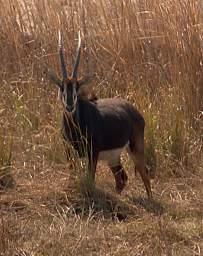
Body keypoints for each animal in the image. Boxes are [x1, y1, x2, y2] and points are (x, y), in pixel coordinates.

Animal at [48, 30, 152, 198]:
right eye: (61, 87)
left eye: (77, 86)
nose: (70, 106)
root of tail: (136, 113)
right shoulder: (69, 151)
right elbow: (72, 175)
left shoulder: (93, 153)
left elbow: (91, 179)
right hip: (113, 157)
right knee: (122, 178)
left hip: (135, 148)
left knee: (144, 175)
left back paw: (149, 199)